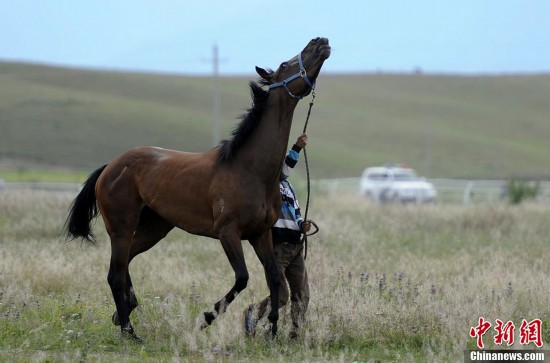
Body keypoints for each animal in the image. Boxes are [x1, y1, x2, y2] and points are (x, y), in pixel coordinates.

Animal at [64, 37, 332, 342]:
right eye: (285, 64)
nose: (320, 41)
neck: (250, 169)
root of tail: (110, 167)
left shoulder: (261, 234)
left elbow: (274, 278)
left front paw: (273, 332)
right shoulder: (228, 232)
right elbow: (243, 278)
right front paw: (206, 318)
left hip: (155, 227)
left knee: (125, 262)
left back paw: (125, 311)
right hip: (121, 227)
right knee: (115, 274)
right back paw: (129, 331)